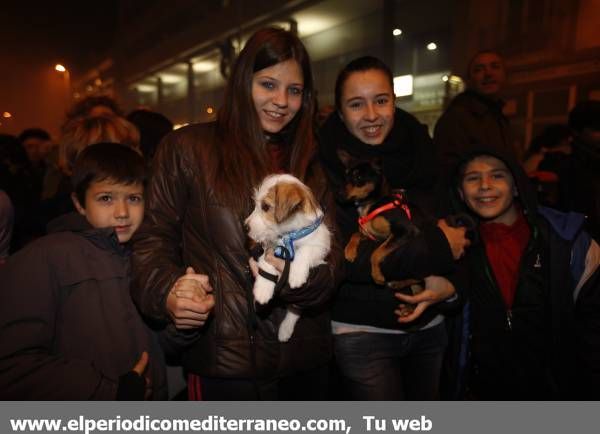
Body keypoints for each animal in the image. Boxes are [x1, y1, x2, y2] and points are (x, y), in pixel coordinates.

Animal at [245, 174, 332, 342]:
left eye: (265, 207)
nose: (245, 227)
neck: (288, 235)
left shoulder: (321, 246)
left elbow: (306, 249)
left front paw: (296, 274)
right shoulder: (270, 248)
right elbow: (266, 265)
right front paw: (263, 289)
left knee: (295, 308)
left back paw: (285, 329)